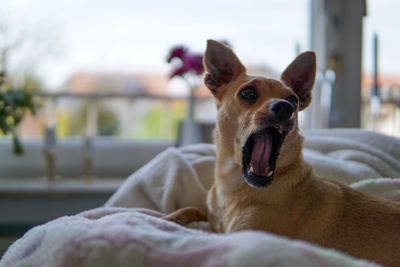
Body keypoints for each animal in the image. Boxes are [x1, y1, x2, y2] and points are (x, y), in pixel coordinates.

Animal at [163, 40, 400, 267]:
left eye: (293, 100)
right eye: (248, 93)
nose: (286, 107)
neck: (234, 188)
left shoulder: (242, 236)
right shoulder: (215, 220)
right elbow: (193, 208)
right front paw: (170, 217)